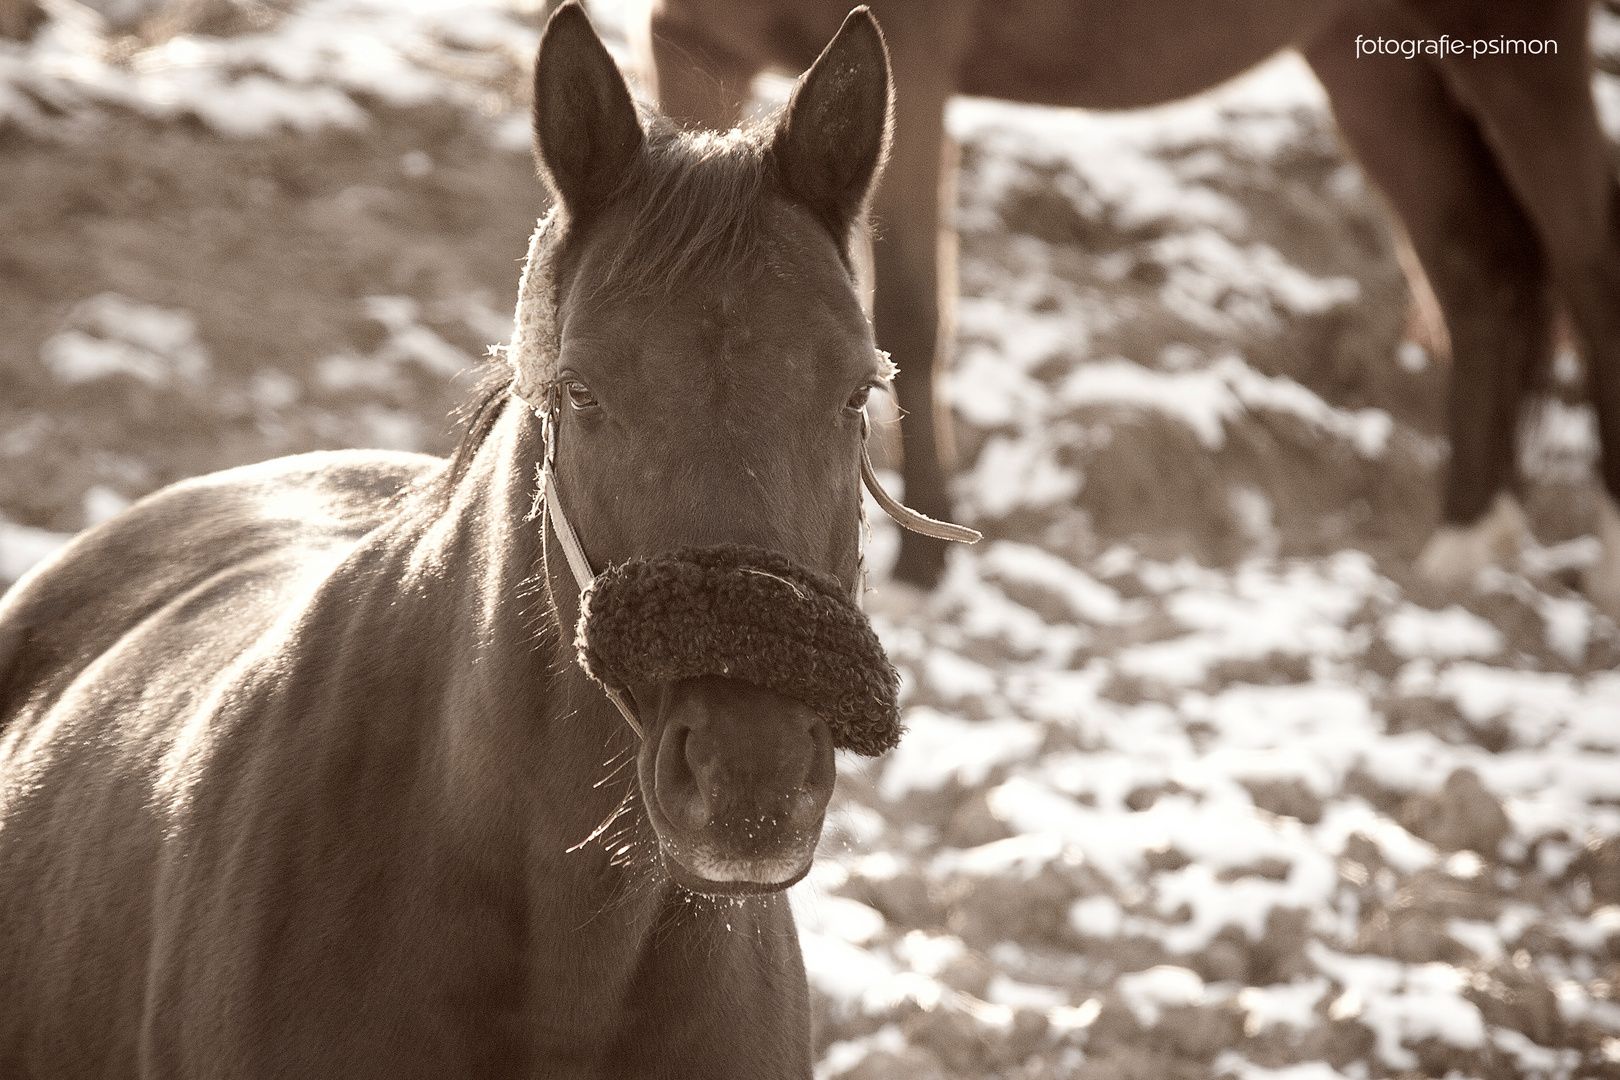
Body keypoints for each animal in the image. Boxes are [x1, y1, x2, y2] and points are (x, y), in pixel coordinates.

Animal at [641, 0, 1620, 608]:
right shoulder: (693, 43)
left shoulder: (911, 64)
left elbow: (914, 311)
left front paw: (924, 568)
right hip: (1369, 56)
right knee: (1476, 268)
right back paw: (1467, 537)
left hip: (1514, 42)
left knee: (1584, 258)